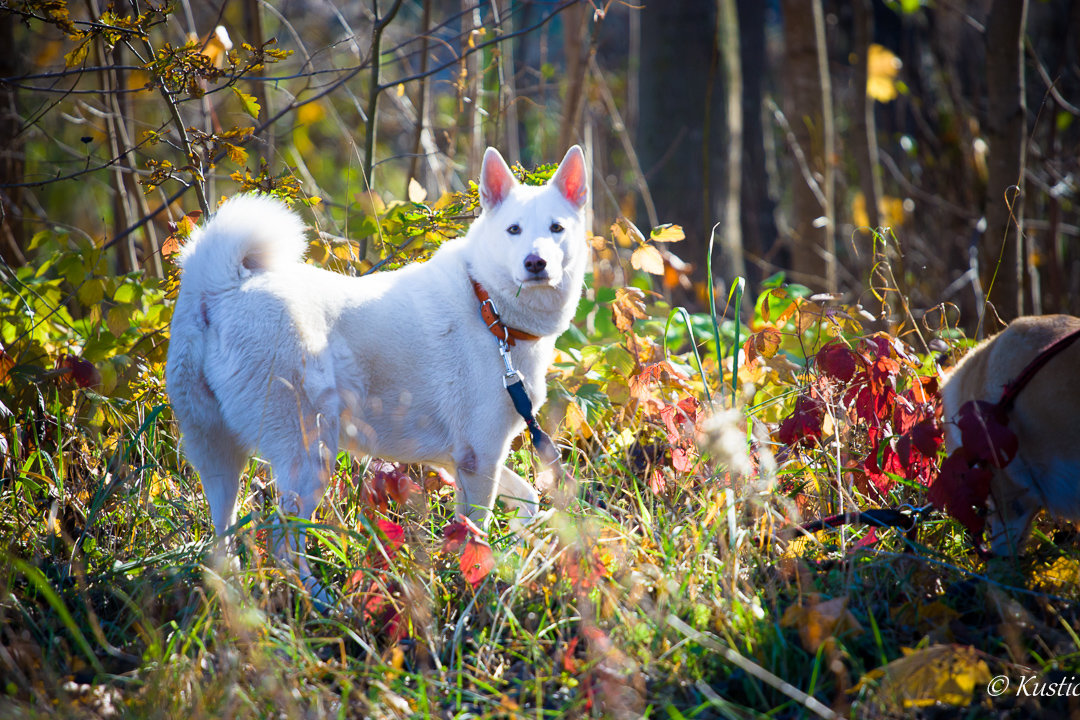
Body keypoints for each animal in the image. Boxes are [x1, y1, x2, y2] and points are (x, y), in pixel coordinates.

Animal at [166, 146, 591, 595]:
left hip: (217, 455)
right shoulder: (479, 456)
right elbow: (477, 531)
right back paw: (322, 600)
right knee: (282, 541)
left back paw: (234, 592)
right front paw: (476, 582)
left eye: (557, 228)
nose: (535, 262)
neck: (488, 306)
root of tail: (222, 289)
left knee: (222, 539)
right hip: (310, 454)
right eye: (514, 229)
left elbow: (527, 496)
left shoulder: (457, 459)